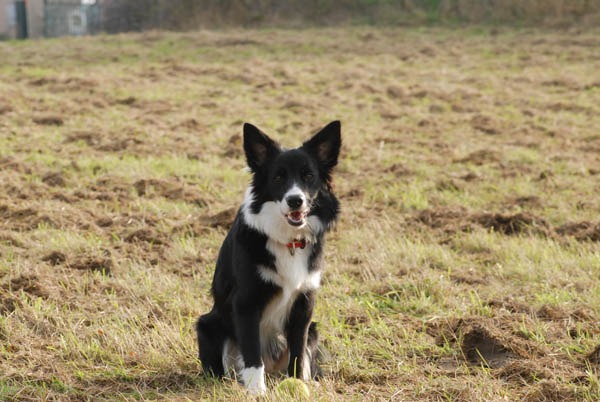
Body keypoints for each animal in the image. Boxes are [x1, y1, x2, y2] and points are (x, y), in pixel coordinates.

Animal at [196, 121, 340, 394]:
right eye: (278, 177)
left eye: (308, 176)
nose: (295, 200)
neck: (288, 240)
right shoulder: (246, 302)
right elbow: (252, 355)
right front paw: (257, 392)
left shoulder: (304, 303)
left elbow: (298, 352)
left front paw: (297, 383)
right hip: (209, 325)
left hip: (314, 330)